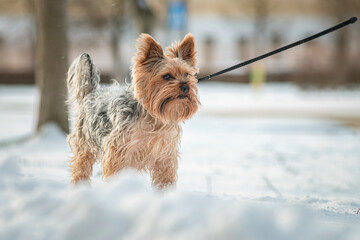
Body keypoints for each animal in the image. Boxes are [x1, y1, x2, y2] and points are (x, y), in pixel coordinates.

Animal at [67, 33, 200, 188]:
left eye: (187, 74)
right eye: (166, 76)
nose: (186, 87)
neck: (152, 117)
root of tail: (92, 91)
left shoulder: (164, 155)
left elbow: (165, 178)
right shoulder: (118, 151)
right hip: (85, 143)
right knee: (81, 167)